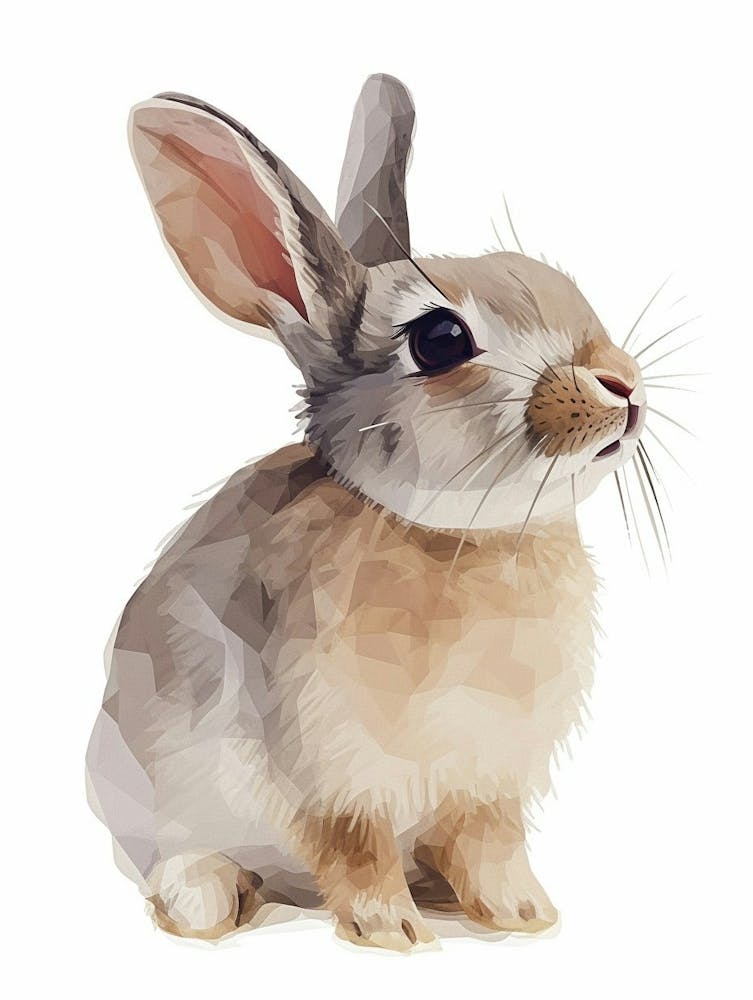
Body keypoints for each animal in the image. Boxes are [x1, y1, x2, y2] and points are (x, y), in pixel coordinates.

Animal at [86, 73, 647, 952]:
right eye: (441, 339)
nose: (621, 384)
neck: (462, 536)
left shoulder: (487, 779)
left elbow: (490, 846)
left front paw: (522, 916)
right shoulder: (328, 767)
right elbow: (354, 848)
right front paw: (391, 931)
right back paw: (204, 899)